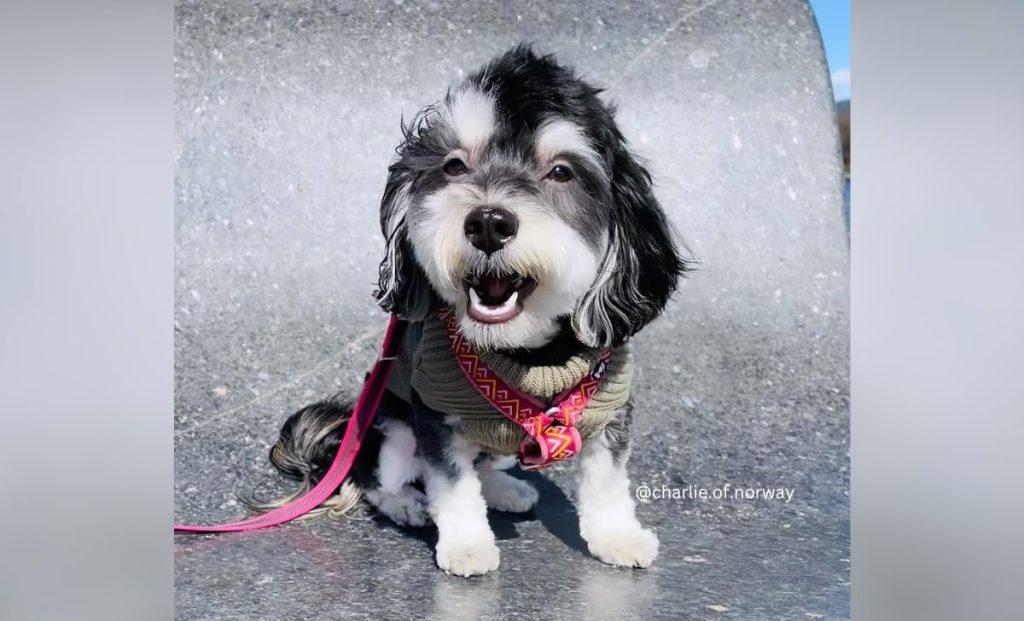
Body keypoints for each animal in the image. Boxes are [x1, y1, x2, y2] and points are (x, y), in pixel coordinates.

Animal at [252, 45, 692, 577]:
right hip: (389, 428)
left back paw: (506, 488)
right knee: (375, 476)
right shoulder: (434, 412)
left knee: (486, 462)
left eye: (561, 172)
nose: (488, 222)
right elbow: (452, 484)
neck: (527, 355)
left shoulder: (612, 408)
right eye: (455, 166)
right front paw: (465, 544)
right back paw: (408, 504)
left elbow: (607, 480)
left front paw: (617, 537)